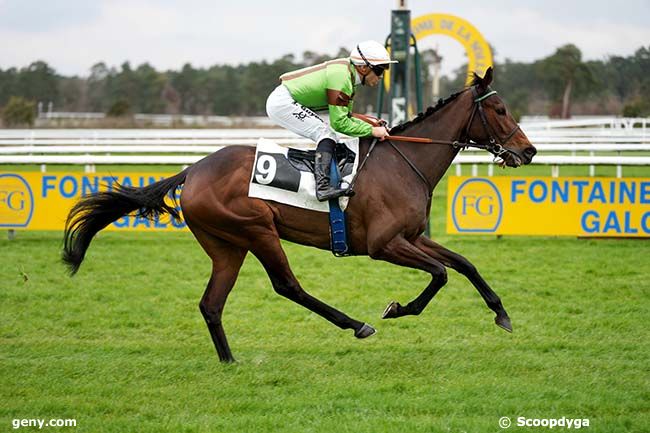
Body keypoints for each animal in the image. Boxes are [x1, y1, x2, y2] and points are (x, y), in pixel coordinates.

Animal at [63, 67, 536, 362]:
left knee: (211, 304)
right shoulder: (384, 245)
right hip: (257, 230)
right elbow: (439, 274)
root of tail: (193, 170)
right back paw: (357, 325)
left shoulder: (413, 236)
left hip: (226, 245)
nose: (528, 151)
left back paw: (229, 360)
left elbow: (464, 263)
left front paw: (501, 313)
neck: (405, 163)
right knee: (287, 285)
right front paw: (398, 309)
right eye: (499, 110)